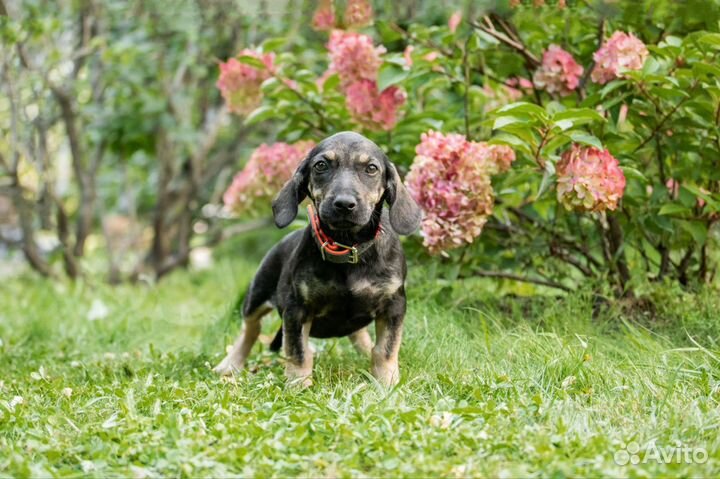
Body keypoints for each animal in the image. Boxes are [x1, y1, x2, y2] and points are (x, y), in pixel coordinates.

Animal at [214, 133, 422, 388]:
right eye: (321, 165)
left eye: (371, 168)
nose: (344, 204)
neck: (348, 246)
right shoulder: (297, 308)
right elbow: (299, 352)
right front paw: (298, 386)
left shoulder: (393, 305)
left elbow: (385, 349)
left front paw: (387, 384)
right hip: (257, 294)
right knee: (250, 329)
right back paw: (230, 364)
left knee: (358, 333)